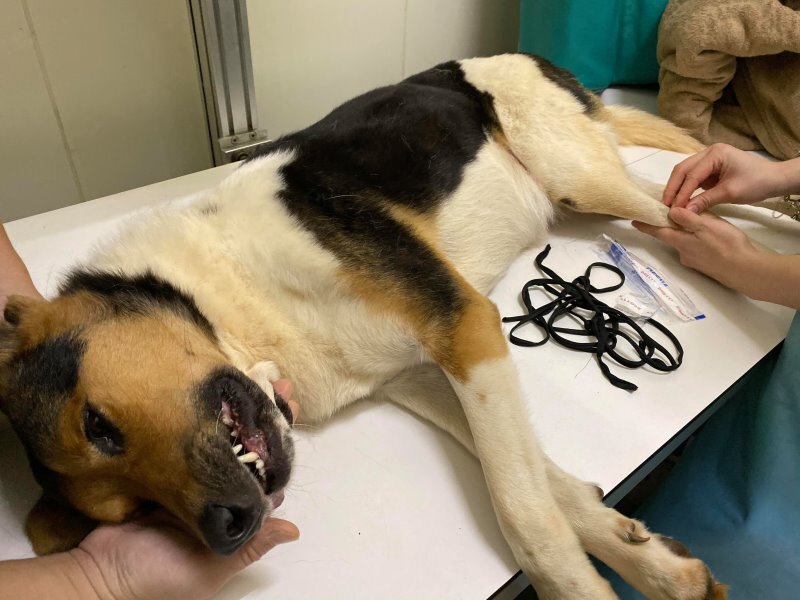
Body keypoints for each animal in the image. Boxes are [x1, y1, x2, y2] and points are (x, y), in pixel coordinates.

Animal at [0, 54, 726, 599]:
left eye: (99, 425)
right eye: (136, 514)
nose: (230, 529)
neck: (230, 291)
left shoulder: (464, 324)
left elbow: (522, 511)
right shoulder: (420, 373)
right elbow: (538, 482)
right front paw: (642, 554)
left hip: (581, 176)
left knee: (696, 211)